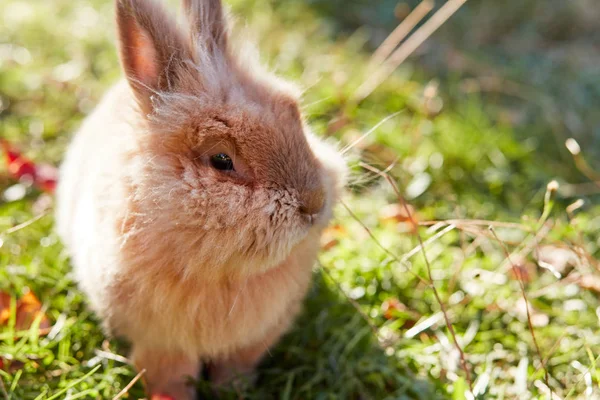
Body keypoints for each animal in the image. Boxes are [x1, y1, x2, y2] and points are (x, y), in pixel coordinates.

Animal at [56, 0, 346, 398]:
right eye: (221, 160)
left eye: (295, 117)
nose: (314, 204)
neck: (221, 275)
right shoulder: (162, 345)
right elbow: (172, 376)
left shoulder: (250, 343)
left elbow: (235, 369)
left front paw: (235, 392)